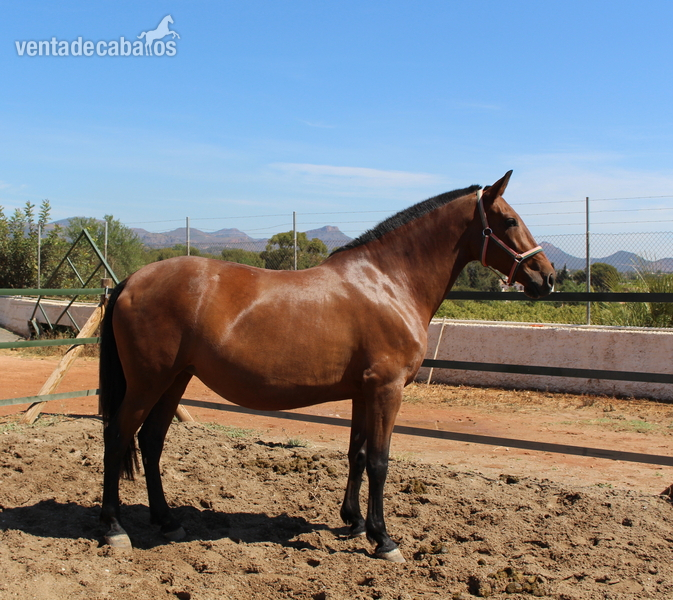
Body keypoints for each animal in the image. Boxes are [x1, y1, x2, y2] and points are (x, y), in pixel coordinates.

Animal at [99, 171, 554, 562]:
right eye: (510, 220)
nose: (547, 277)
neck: (388, 282)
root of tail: (131, 281)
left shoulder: (362, 392)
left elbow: (357, 454)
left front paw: (354, 523)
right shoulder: (387, 390)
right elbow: (380, 461)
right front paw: (384, 539)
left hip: (175, 380)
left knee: (151, 441)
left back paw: (168, 521)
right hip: (148, 383)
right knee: (118, 436)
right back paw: (114, 529)